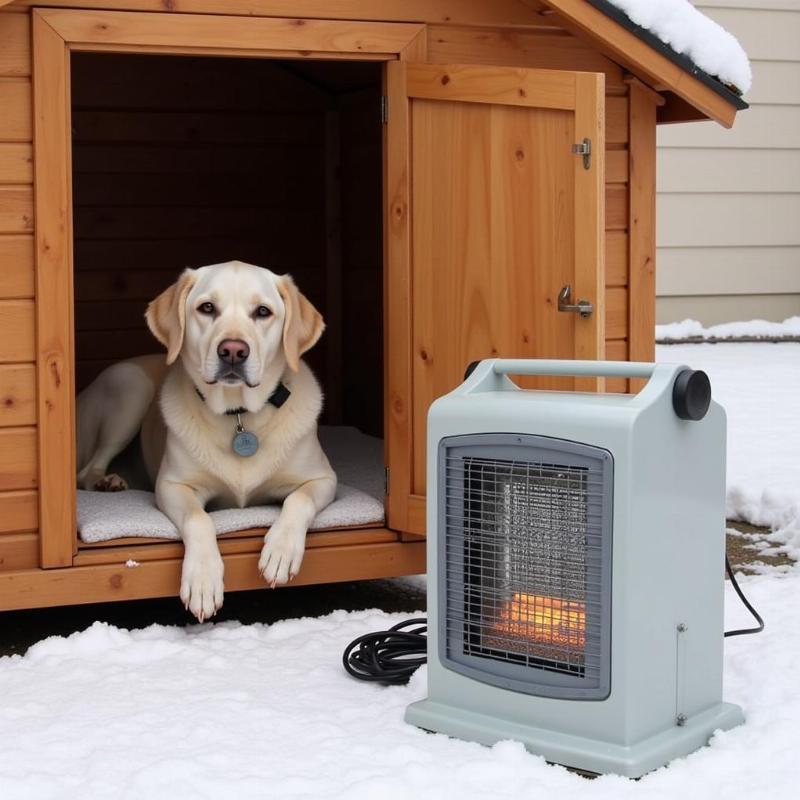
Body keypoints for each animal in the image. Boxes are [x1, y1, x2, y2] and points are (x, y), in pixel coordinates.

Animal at [76, 260, 338, 620]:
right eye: (207, 308)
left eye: (263, 311)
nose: (233, 351)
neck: (238, 416)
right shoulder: (172, 486)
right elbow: (199, 519)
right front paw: (202, 579)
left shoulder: (324, 479)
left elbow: (298, 500)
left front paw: (280, 551)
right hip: (131, 389)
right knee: (86, 469)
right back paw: (106, 481)